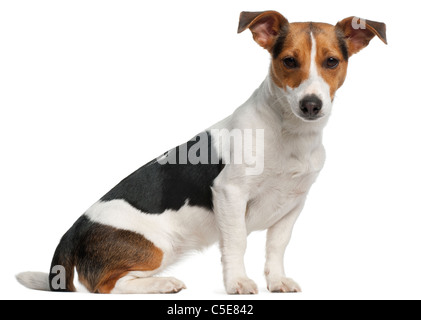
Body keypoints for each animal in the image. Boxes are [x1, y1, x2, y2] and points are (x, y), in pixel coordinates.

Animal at [17, 10, 388, 296]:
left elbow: (276, 246)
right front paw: (237, 282)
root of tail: (72, 231)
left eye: (331, 61)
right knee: (105, 286)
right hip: (156, 246)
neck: (289, 133)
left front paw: (277, 281)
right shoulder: (230, 193)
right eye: (288, 61)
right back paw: (161, 285)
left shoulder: (293, 204)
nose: (311, 105)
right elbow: (237, 243)